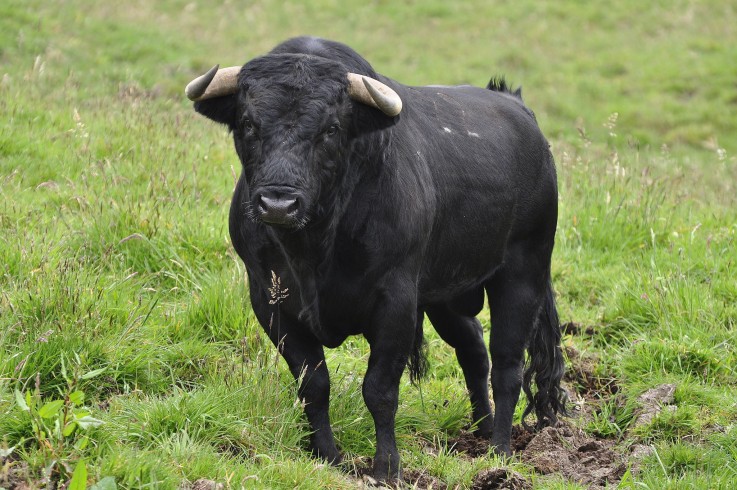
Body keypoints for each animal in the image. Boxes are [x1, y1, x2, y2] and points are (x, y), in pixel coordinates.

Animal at [187, 37, 568, 478]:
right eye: (248, 123)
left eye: (331, 129)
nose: (278, 203)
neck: (313, 250)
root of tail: (515, 105)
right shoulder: (270, 300)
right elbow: (313, 384)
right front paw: (326, 455)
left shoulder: (395, 302)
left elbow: (380, 390)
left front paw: (386, 467)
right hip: (444, 293)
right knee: (474, 349)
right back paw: (482, 429)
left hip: (523, 272)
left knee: (507, 364)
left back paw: (500, 452)